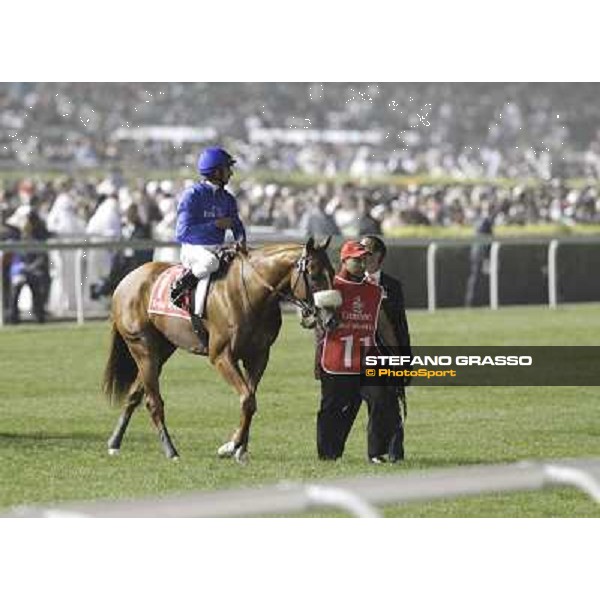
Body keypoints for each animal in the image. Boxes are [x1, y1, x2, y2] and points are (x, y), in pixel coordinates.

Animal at [103, 237, 338, 462]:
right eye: (314, 275)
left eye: (333, 273)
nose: (331, 319)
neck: (249, 291)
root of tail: (126, 281)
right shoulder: (221, 356)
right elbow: (247, 399)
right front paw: (231, 446)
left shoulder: (258, 356)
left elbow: (250, 400)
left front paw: (240, 449)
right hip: (143, 349)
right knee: (153, 402)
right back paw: (171, 451)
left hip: (161, 351)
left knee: (134, 394)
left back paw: (114, 443)